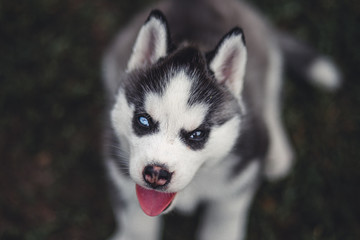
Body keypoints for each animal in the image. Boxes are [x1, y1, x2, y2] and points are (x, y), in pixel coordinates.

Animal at [102, 0, 340, 239]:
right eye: (144, 121)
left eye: (197, 134)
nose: (156, 174)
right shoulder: (121, 176)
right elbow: (137, 227)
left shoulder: (238, 182)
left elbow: (222, 224)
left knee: (270, 98)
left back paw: (278, 152)